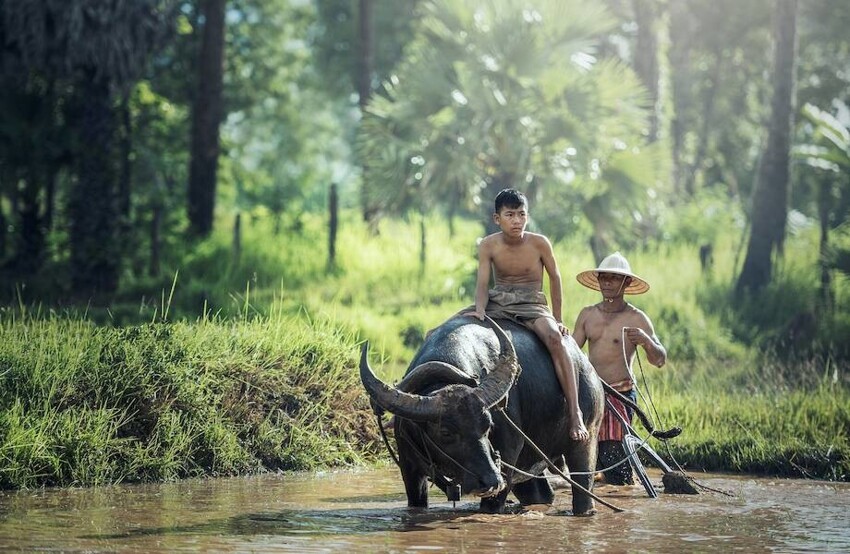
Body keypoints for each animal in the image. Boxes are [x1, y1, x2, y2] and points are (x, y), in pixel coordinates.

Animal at [358, 312, 604, 512]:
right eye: (446, 432)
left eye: (488, 426)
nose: (491, 481)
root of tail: (587, 367)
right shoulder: (410, 470)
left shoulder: (507, 460)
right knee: (540, 493)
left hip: (586, 440)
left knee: (583, 489)